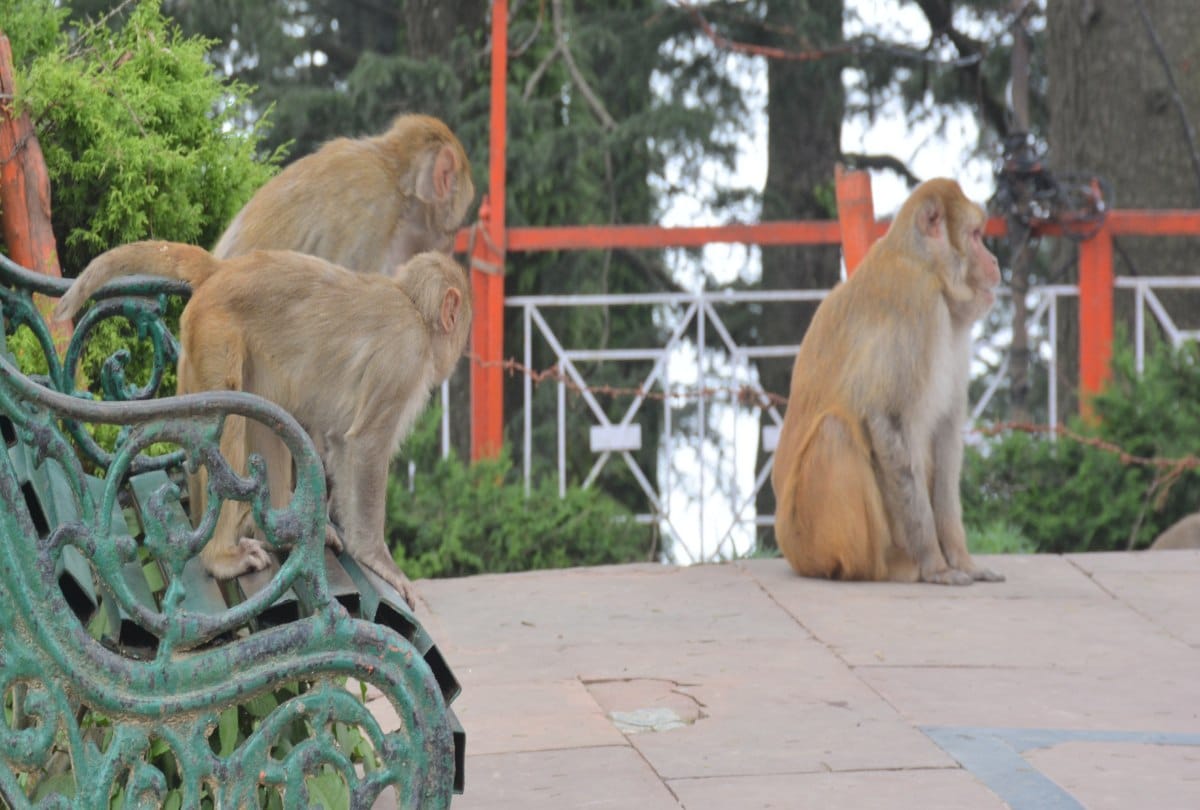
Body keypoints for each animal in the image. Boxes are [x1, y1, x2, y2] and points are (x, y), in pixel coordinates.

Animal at [54, 242, 472, 604]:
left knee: (265, 415)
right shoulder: (404, 358)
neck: (413, 308)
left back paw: (281, 533)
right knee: (230, 420)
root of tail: (222, 269)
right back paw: (220, 557)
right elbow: (365, 444)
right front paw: (379, 562)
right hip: (215, 334)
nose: (459, 348)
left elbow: (340, 441)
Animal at [770, 177, 1004, 586]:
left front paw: (962, 560)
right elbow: (887, 420)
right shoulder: (918, 304)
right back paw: (875, 567)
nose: (994, 261)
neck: (925, 266)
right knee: (835, 432)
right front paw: (935, 564)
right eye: (976, 236)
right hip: (809, 537)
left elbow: (946, 430)